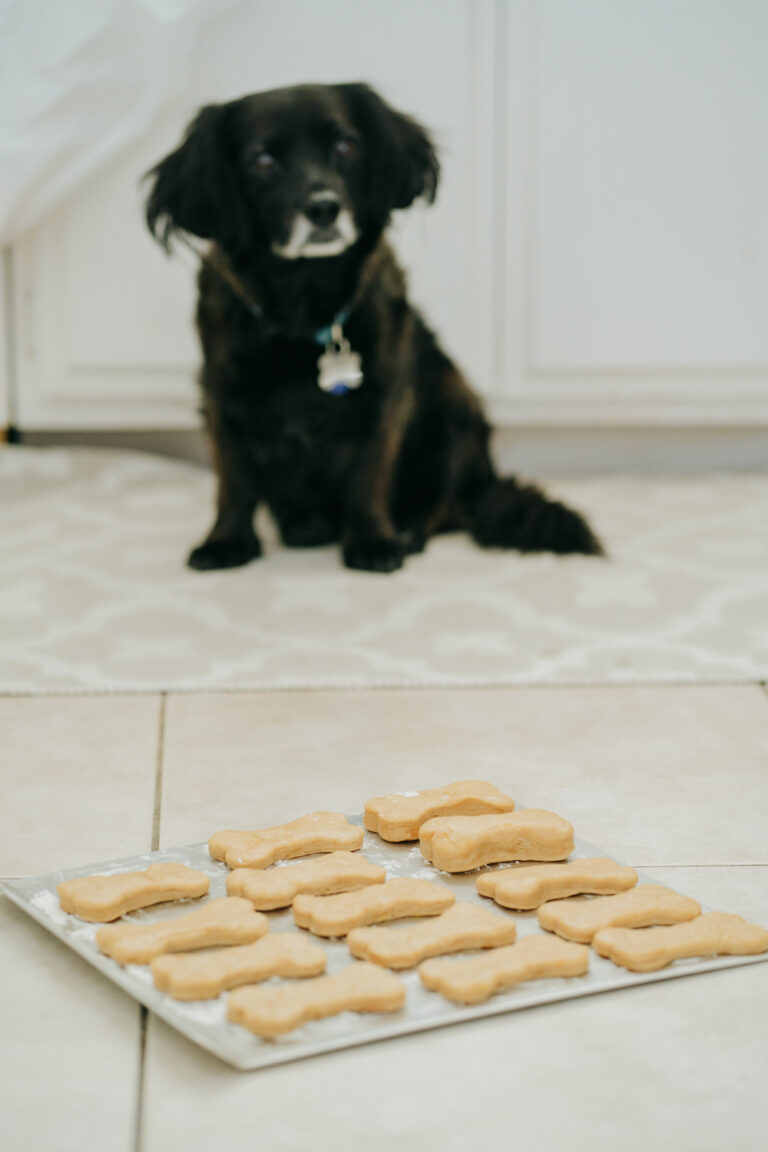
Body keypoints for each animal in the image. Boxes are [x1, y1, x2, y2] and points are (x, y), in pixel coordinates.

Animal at [143, 82, 598, 571]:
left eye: (346, 146)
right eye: (262, 161)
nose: (324, 208)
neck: (303, 305)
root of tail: (484, 481)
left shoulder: (385, 396)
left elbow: (369, 473)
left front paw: (372, 541)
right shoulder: (221, 397)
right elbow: (234, 481)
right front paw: (226, 541)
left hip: (456, 403)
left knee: (446, 507)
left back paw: (407, 530)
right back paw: (304, 527)